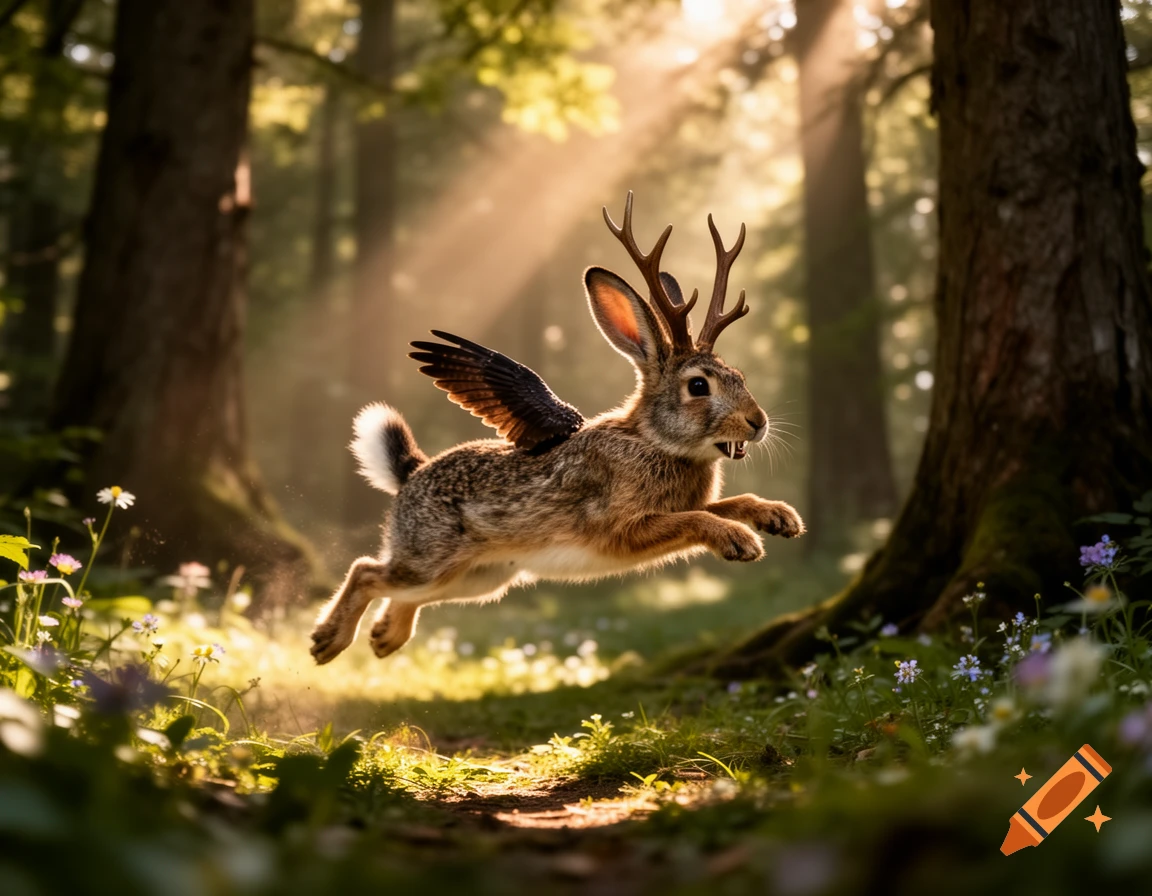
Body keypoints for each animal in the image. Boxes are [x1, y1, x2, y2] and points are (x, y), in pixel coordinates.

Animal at [310, 193, 804, 664]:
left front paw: (779, 518)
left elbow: (729, 503)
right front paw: (741, 542)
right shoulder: (624, 528)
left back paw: (384, 638)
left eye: (739, 376)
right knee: (367, 571)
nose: (758, 423)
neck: (653, 440)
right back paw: (327, 642)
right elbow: (697, 517)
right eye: (698, 386)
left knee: (402, 593)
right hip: (432, 560)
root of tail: (409, 476)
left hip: (478, 578)